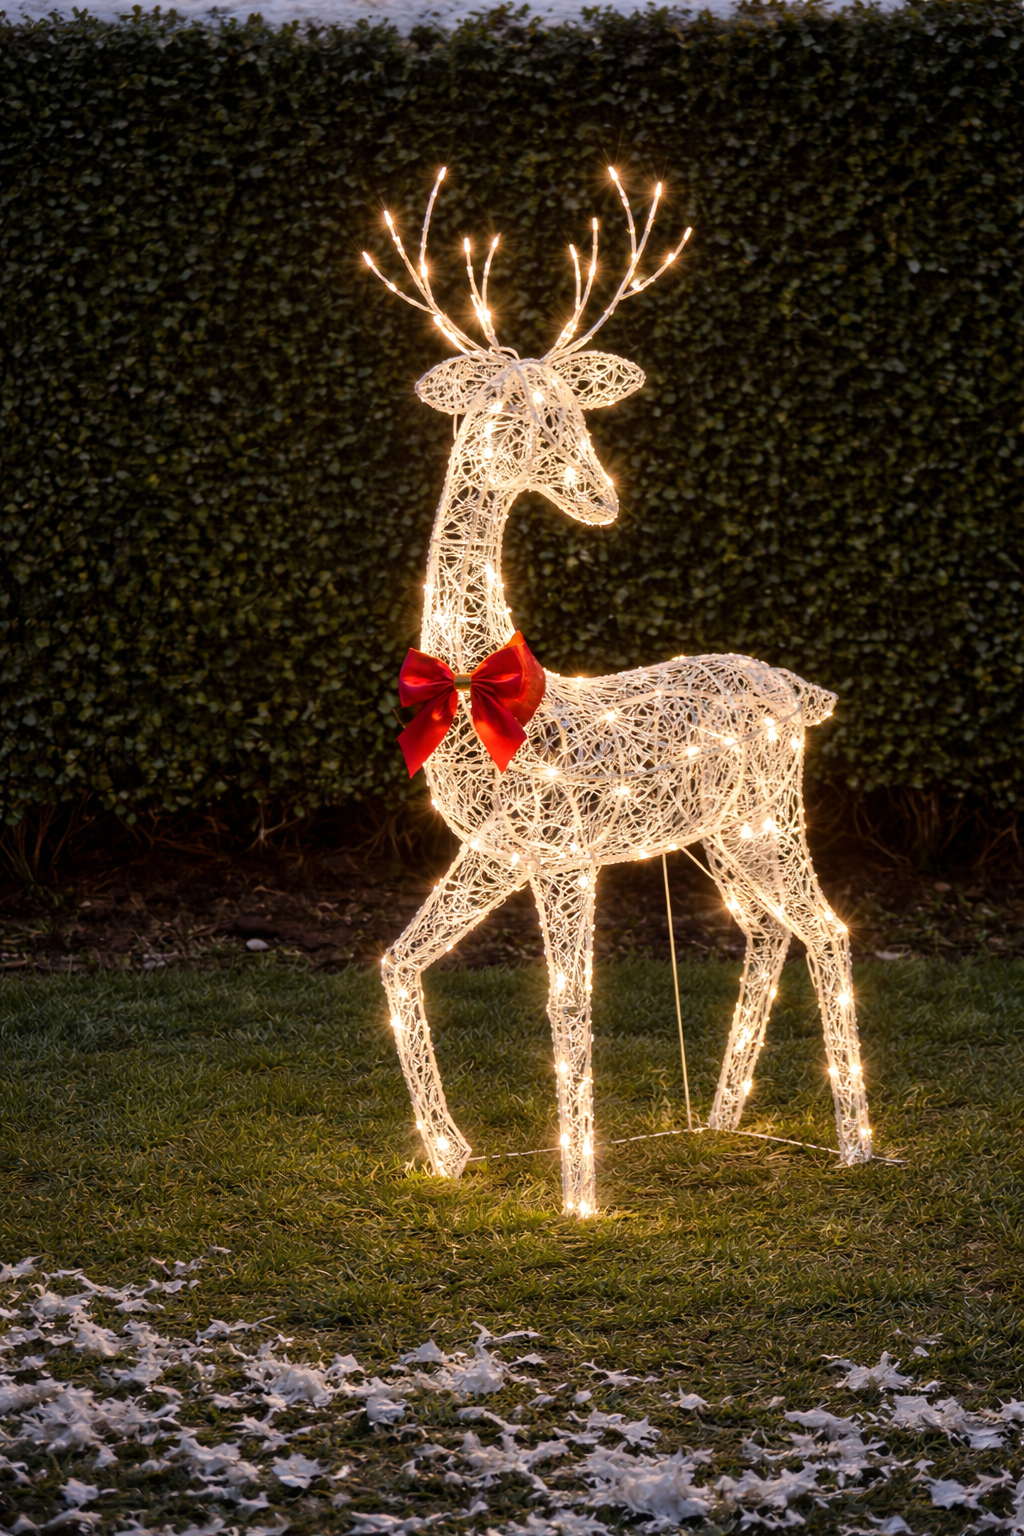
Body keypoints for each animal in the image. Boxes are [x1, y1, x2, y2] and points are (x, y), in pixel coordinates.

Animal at [366, 169, 872, 1218]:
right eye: (507, 411)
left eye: (575, 409)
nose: (601, 495)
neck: (477, 685)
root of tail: (797, 690)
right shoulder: (494, 849)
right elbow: (398, 962)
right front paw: (449, 1153)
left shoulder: (564, 853)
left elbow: (569, 1007)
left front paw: (579, 1201)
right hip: (718, 832)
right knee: (768, 933)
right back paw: (720, 1118)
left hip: (772, 816)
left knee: (829, 930)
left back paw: (854, 1145)